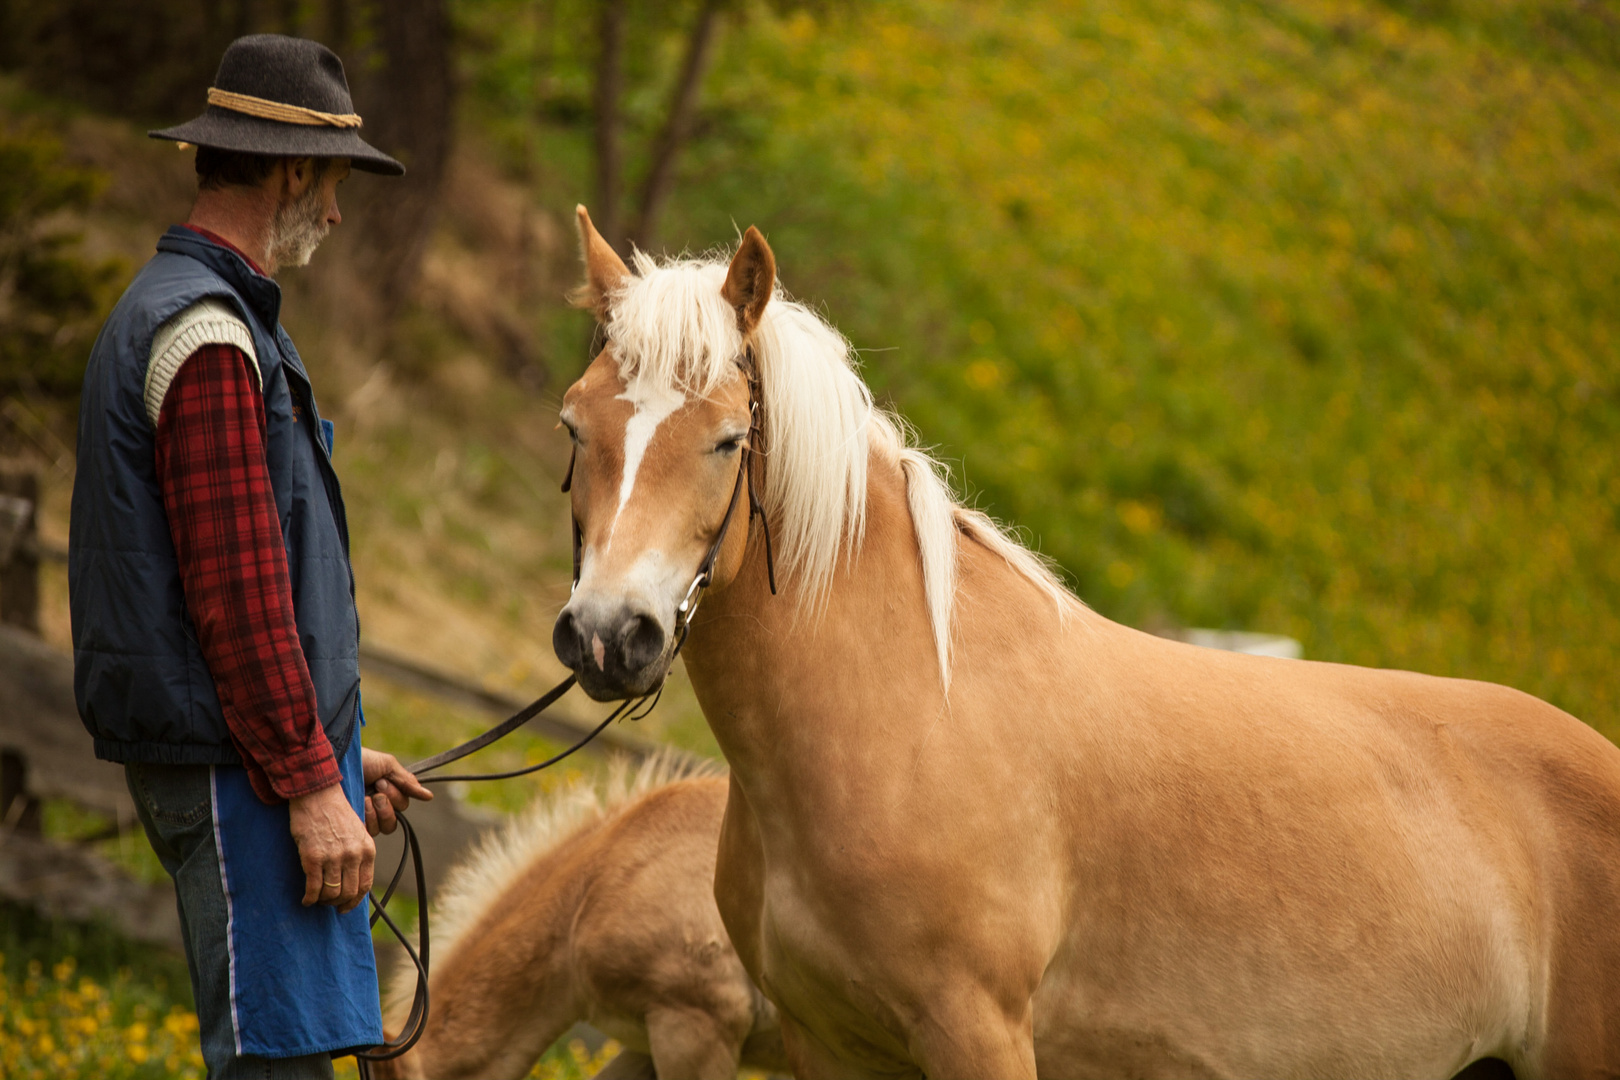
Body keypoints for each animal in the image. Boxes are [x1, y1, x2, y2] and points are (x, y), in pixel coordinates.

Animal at [554, 207, 1620, 1075]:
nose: (609, 636)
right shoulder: (831, 1044)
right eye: (573, 428)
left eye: (730, 440)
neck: (907, 715)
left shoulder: (977, 1034)